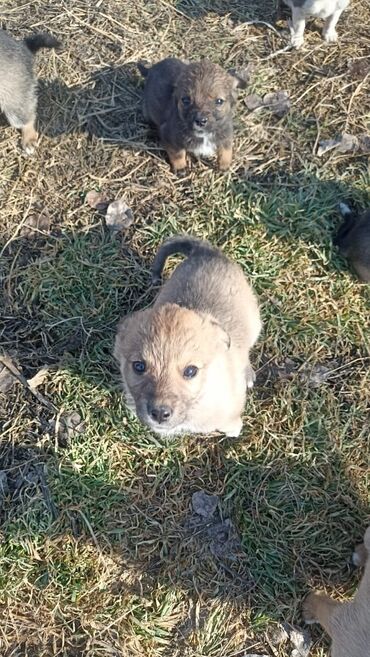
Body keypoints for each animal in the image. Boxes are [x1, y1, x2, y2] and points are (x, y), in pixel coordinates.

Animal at [114, 234, 262, 436]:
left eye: (191, 371)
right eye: (139, 366)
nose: (159, 413)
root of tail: (205, 251)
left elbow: (231, 422)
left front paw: (234, 431)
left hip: (254, 323)